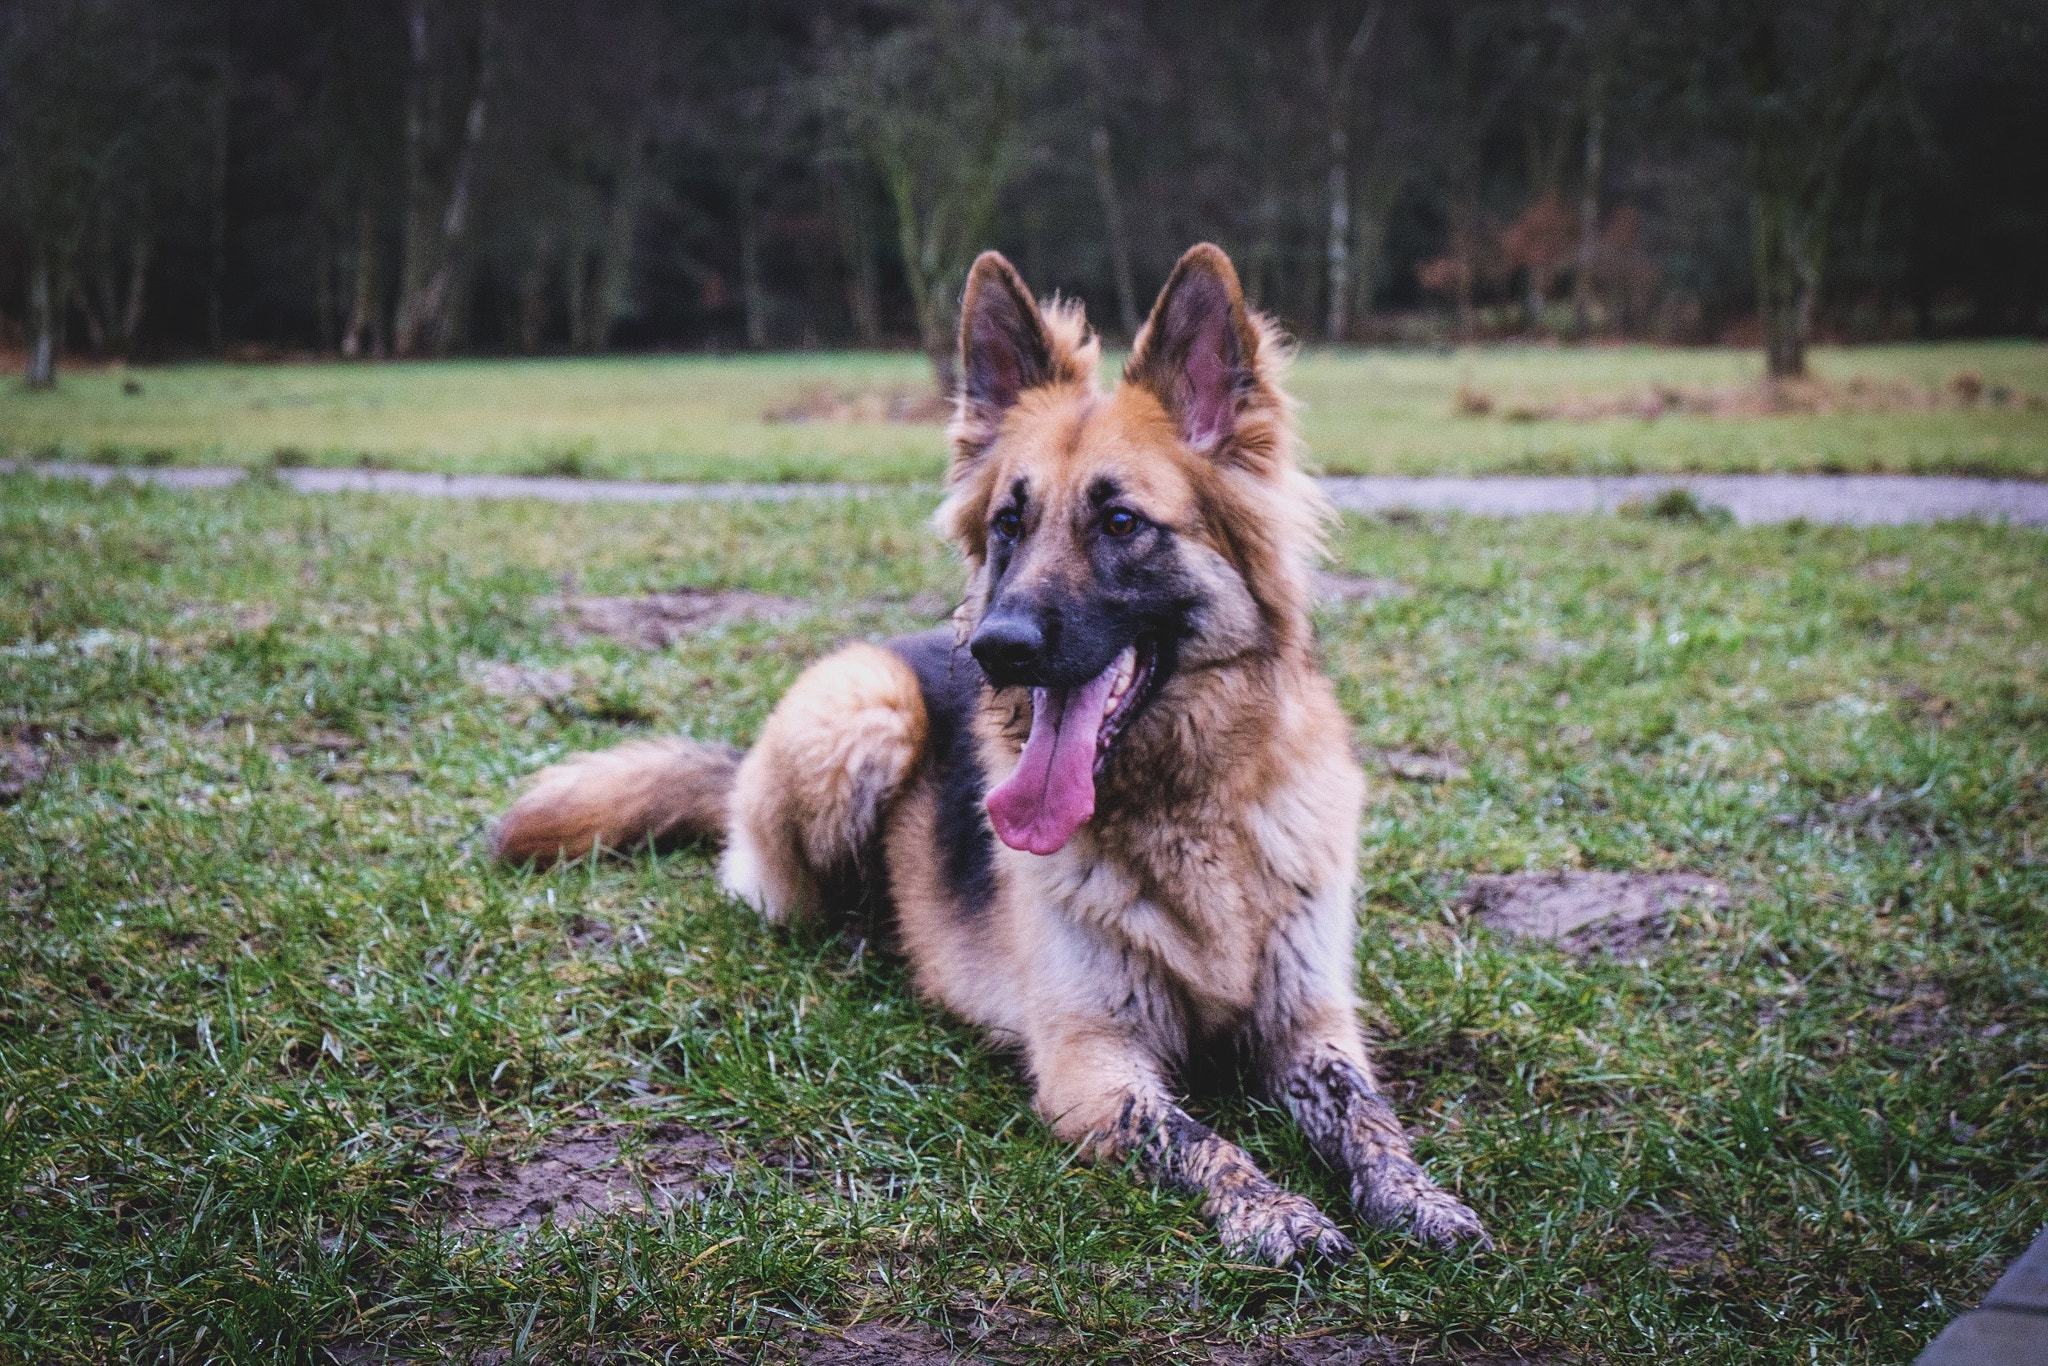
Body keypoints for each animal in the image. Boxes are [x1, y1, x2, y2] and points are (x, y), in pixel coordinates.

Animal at [495, 242, 1490, 1261]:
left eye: (1120, 523)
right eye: (1009, 524)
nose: (994, 649)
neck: (1186, 806)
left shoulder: (1309, 1024)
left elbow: (1368, 1116)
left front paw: (1420, 1198)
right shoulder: (1092, 1062)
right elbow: (1197, 1136)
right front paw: (1274, 1211)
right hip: (868, 711)